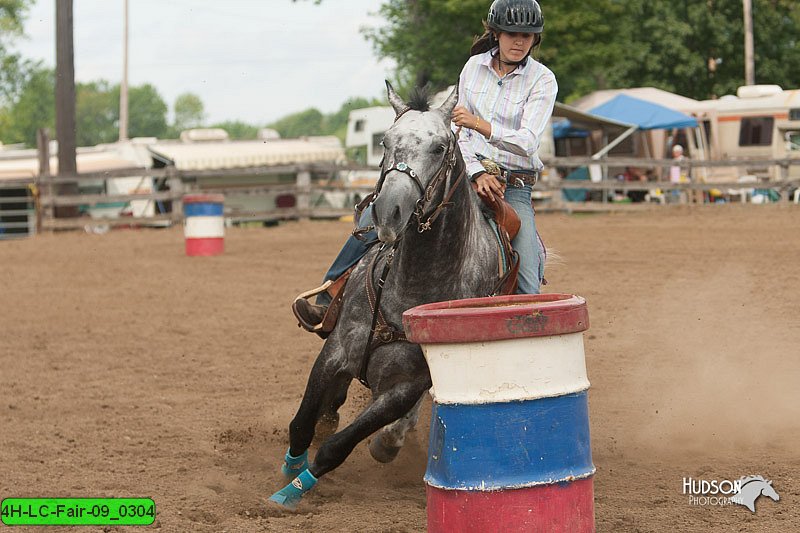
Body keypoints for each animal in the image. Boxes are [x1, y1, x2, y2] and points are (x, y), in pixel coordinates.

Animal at [268, 81, 512, 510]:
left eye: (440, 147)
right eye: (385, 141)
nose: (389, 210)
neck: (411, 283)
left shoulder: (405, 388)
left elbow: (337, 447)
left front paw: (292, 491)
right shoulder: (335, 351)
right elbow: (301, 422)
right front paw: (290, 467)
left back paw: (388, 442)